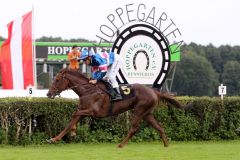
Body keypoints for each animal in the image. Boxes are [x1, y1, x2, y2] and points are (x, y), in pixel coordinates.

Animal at [47, 69, 185, 148]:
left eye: (57, 79)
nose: (48, 94)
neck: (88, 90)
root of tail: (155, 92)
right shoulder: (84, 110)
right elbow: (72, 121)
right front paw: (56, 138)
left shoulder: (94, 112)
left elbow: (74, 115)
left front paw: (67, 134)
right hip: (147, 114)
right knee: (159, 127)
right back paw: (166, 145)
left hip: (139, 111)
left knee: (134, 128)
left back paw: (120, 145)